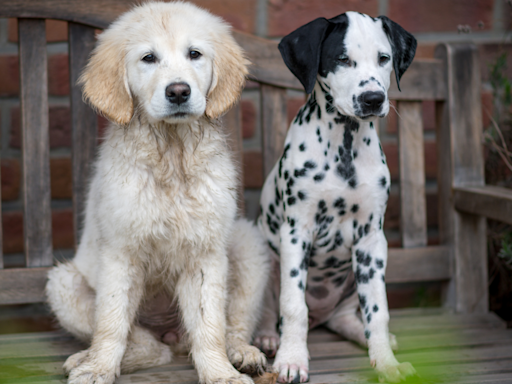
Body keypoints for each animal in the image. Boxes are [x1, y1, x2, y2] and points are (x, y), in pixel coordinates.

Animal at [46, 3, 270, 384]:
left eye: (194, 54)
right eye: (148, 58)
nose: (178, 91)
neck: (173, 154)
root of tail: (173, 336)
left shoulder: (206, 253)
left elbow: (210, 325)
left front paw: (220, 373)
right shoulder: (120, 252)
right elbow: (111, 323)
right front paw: (99, 368)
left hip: (246, 244)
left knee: (231, 325)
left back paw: (242, 352)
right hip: (63, 284)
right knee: (149, 346)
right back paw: (85, 359)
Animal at [254, 11, 418, 380]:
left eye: (384, 58)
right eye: (342, 59)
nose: (373, 99)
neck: (345, 142)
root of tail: (322, 315)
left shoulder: (371, 241)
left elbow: (378, 311)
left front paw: (386, 362)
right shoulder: (295, 234)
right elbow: (293, 306)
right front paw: (291, 359)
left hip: (353, 280)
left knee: (348, 319)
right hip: (266, 262)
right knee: (272, 312)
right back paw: (269, 338)